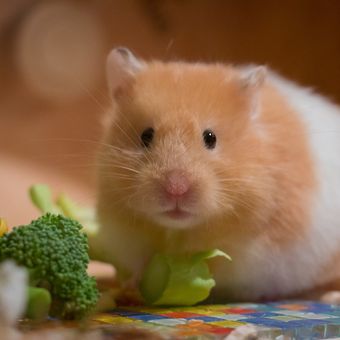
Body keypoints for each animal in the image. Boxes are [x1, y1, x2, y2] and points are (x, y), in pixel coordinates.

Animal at [94, 46, 340, 302]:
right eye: (146, 136)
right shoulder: (127, 235)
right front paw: (134, 285)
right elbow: (141, 263)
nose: (176, 189)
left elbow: (218, 263)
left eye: (210, 138)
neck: (178, 230)